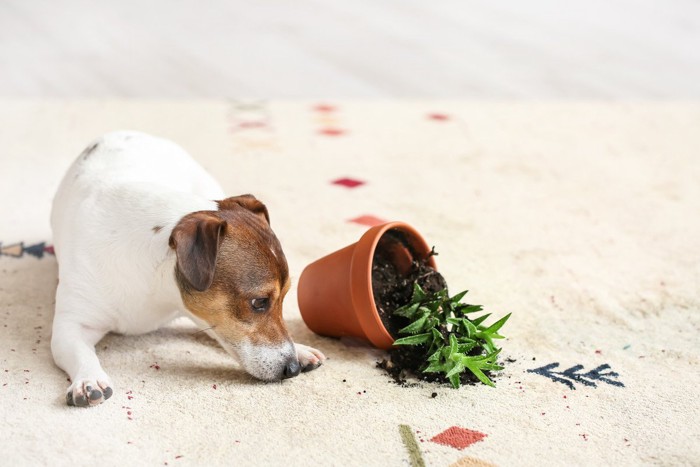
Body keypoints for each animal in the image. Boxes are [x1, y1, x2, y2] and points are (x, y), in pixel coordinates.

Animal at [51, 131, 326, 406]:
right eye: (259, 302)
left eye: (285, 297)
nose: (292, 368)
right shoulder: (71, 326)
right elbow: (81, 352)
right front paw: (88, 379)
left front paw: (300, 349)